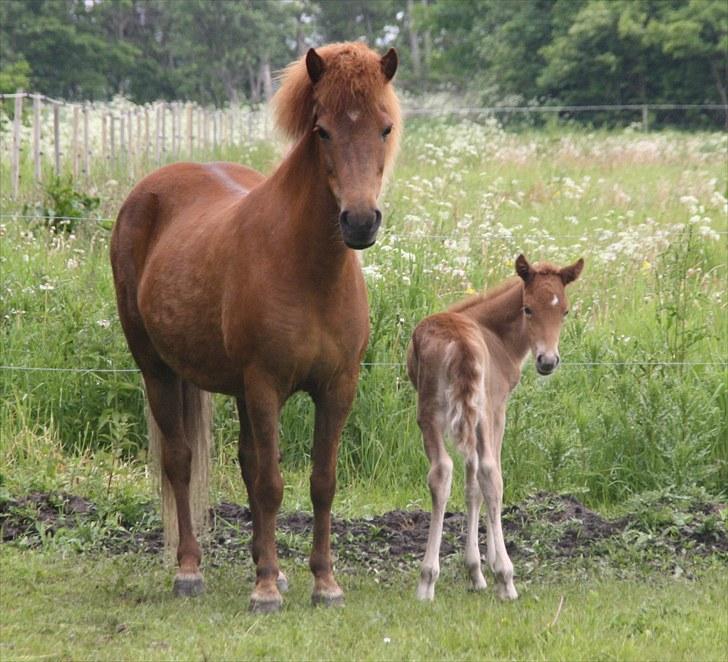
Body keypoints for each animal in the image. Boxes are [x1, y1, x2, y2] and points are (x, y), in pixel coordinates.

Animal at [111, 44, 400, 616]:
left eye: (384, 127)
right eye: (322, 131)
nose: (359, 221)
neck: (309, 270)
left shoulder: (337, 389)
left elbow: (321, 481)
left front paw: (321, 582)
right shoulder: (266, 386)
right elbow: (270, 483)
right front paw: (264, 589)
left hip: (237, 389)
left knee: (244, 462)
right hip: (157, 370)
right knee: (180, 460)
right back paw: (190, 570)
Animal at [406, 253, 584, 600]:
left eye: (565, 311)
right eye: (528, 308)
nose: (547, 361)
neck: (495, 334)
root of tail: (460, 342)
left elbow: (469, 483)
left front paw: (474, 570)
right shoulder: (498, 409)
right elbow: (486, 479)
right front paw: (485, 568)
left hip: (430, 412)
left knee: (442, 472)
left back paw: (426, 582)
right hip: (482, 412)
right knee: (490, 473)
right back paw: (506, 579)